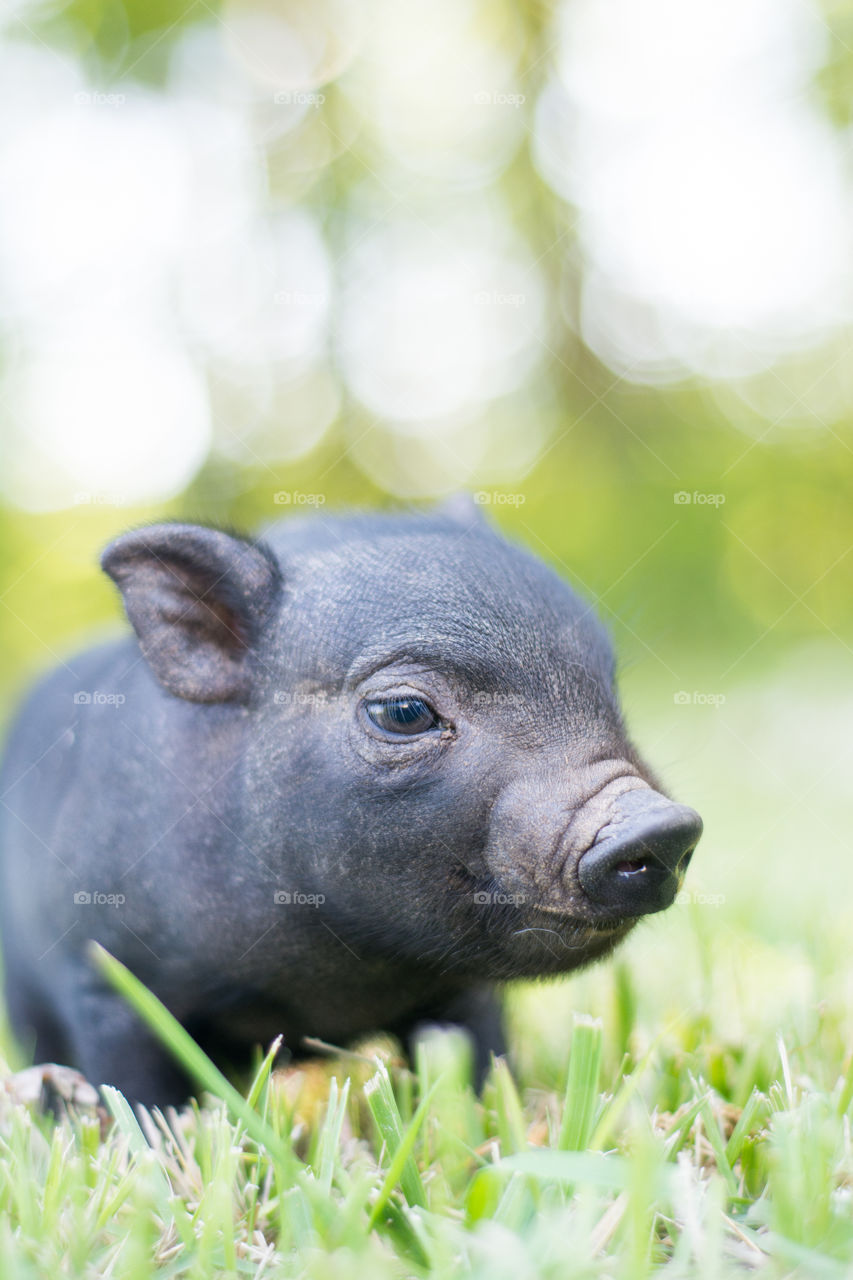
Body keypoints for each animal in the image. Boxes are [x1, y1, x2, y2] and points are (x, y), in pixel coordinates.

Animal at [0, 501, 702, 1107]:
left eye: (605, 687)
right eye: (403, 710)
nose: (662, 825)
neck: (329, 983)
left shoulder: (465, 997)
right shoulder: (105, 981)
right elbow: (138, 1096)